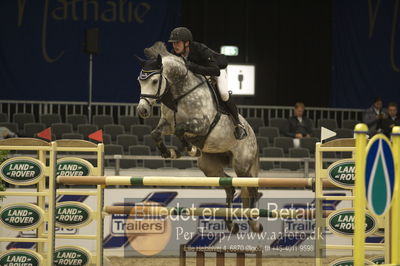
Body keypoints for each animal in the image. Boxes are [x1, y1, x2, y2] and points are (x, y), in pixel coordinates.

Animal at [137, 41, 262, 233]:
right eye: (139, 80)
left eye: (155, 81)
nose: (142, 110)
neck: (180, 92)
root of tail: (253, 135)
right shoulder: (167, 124)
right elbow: (156, 133)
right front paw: (170, 153)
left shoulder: (201, 124)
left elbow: (181, 130)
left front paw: (190, 149)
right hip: (209, 166)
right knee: (229, 186)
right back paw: (231, 224)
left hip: (243, 166)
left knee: (251, 189)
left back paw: (254, 223)